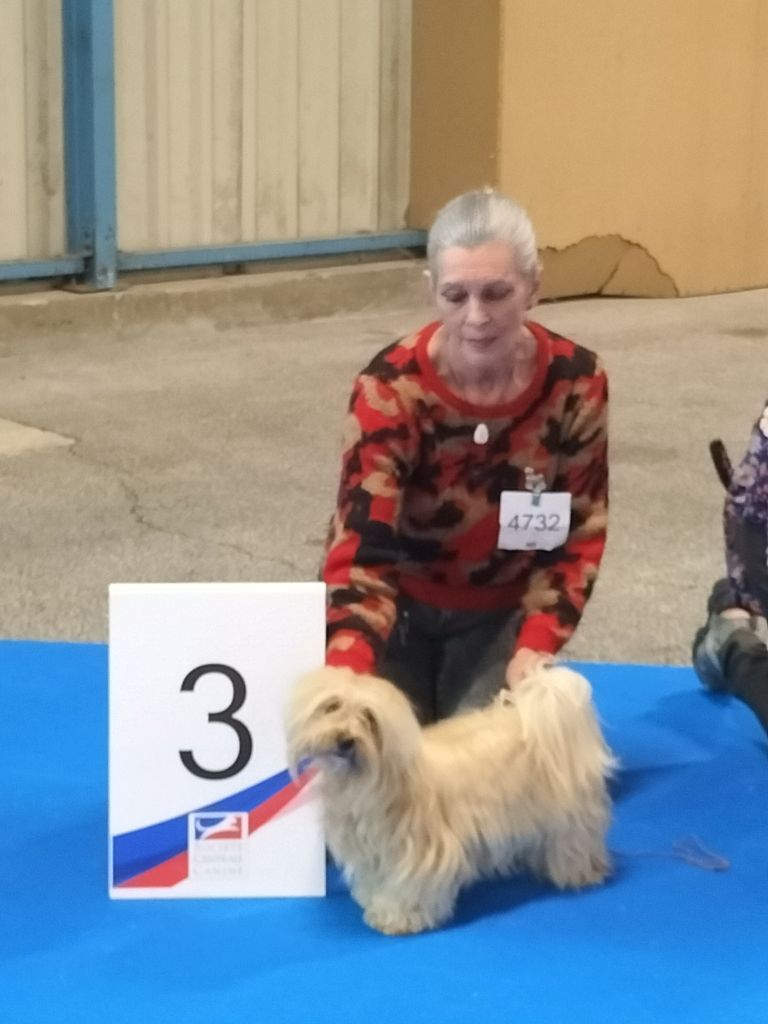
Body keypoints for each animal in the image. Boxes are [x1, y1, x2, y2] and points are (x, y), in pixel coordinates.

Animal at [286, 663, 618, 937]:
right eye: (332, 706)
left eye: (369, 717)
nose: (344, 740)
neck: (366, 781)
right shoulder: (371, 851)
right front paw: (374, 902)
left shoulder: (419, 854)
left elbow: (408, 889)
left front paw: (398, 918)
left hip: (569, 818)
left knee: (574, 843)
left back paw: (576, 873)